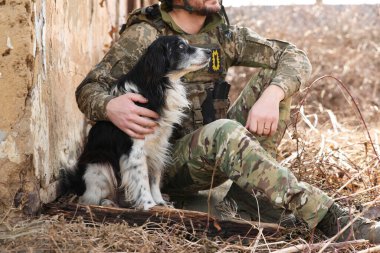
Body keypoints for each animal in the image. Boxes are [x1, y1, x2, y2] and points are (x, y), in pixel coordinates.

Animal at [65, 35, 212, 210]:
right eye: (181, 47)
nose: (209, 51)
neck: (158, 85)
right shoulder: (135, 150)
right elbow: (142, 181)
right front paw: (149, 205)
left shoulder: (159, 146)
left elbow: (154, 178)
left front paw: (160, 202)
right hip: (99, 167)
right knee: (89, 198)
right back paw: (107, 202)